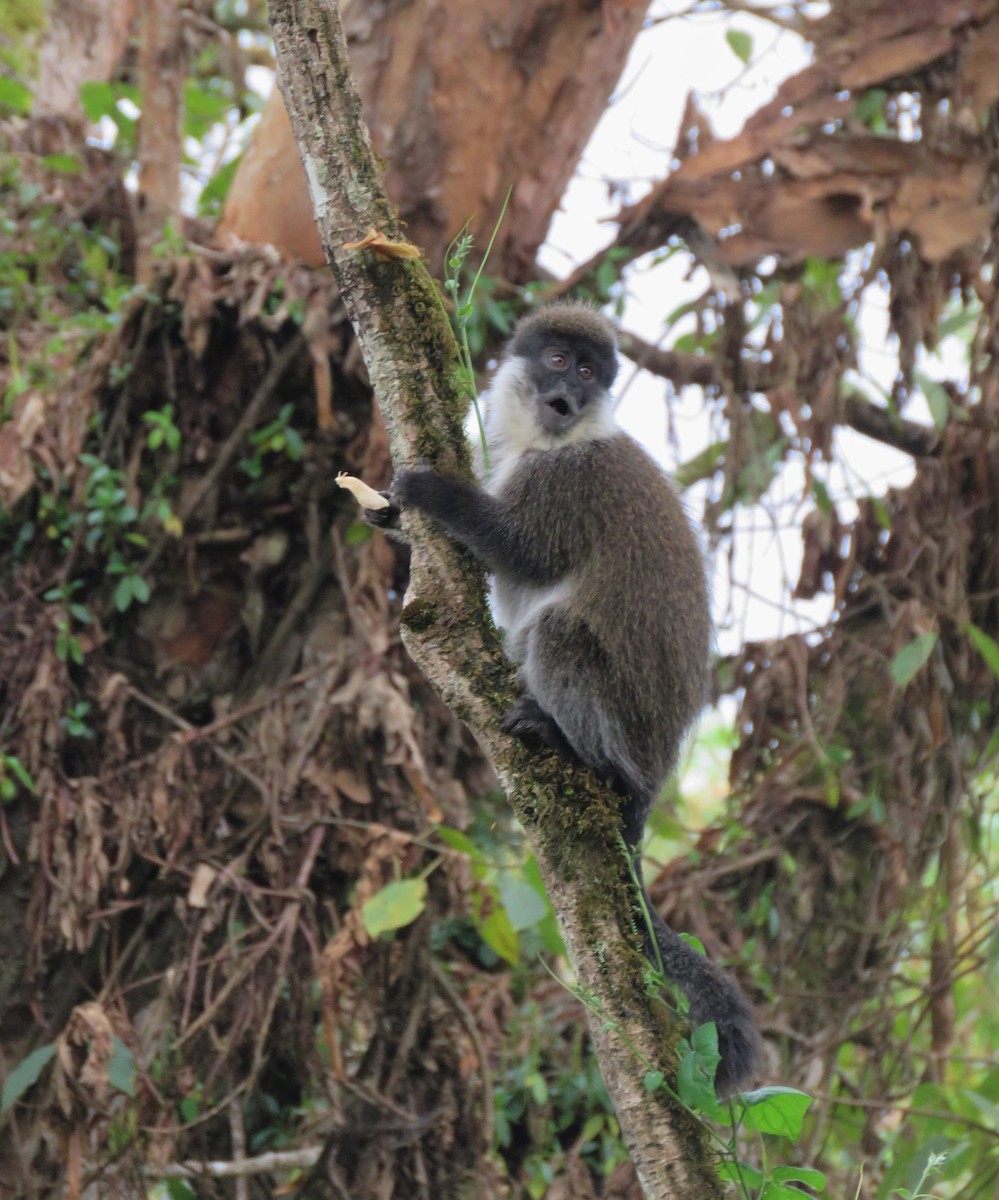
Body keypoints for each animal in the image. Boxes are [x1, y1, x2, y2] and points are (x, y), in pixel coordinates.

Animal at [372, 301, 760, 1095]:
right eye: (558, 361)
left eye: (588, 372)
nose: (570, 396)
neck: (555, 439)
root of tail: (650, 782)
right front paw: (387, 511)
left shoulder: (567, 480)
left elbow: (524, 553)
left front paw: (432, 497)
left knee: (556, 630)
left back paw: (581, 755)